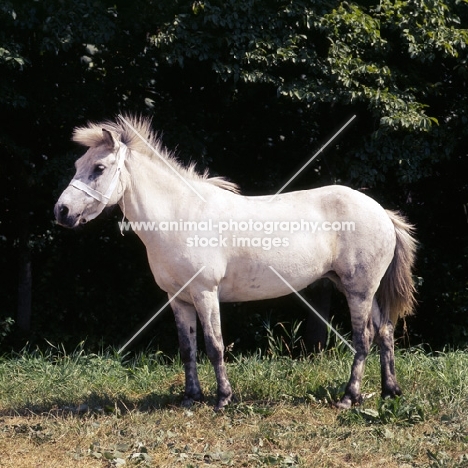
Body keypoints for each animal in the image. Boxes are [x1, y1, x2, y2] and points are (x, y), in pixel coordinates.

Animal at [54, 116, 416, 410]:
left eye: (99, 168)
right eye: (76, 164)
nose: (61, 211)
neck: (180, 216)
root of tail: (381, 212)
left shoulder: (205, 292)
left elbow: (214, 345)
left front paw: (222, 399)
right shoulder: (178, 299)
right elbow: (188, 349)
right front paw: (190, 398)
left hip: (359, 290)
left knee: (363, 338)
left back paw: (348, 398)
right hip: (363, 290)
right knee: (384, 332)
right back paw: (390, 391)